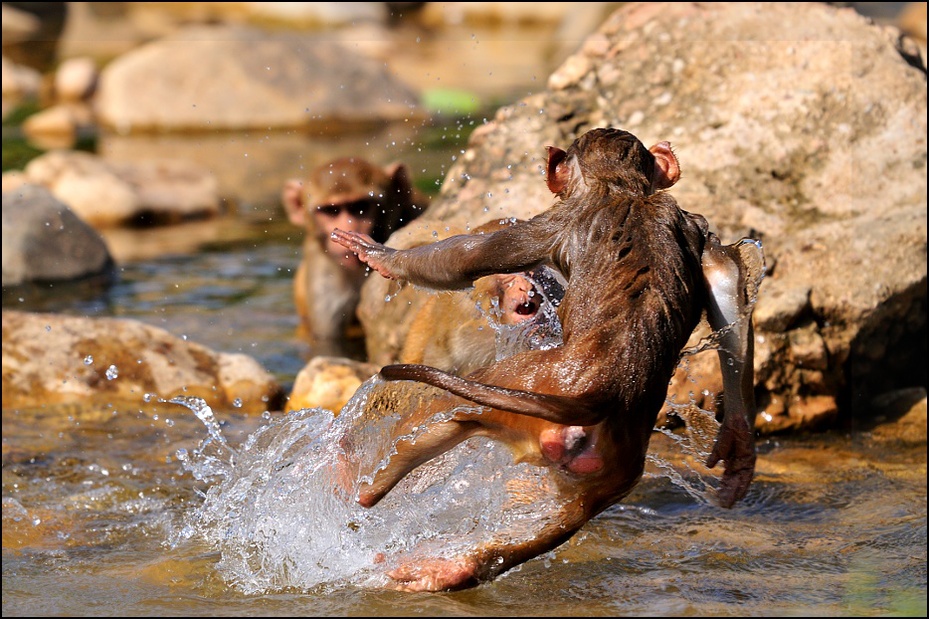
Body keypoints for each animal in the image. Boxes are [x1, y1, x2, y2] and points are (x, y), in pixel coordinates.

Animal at [330, 128, 756, 592]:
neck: (625, 189)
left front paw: (379, 256)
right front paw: (738, 443)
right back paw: (456, 566)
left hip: (518, 383)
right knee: (571, 511)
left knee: (445, 408)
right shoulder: (694, 223)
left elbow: (465, 262)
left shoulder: (552, 224)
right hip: (612, 455)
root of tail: (600, 391)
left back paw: (363, 483)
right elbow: (726, 284)